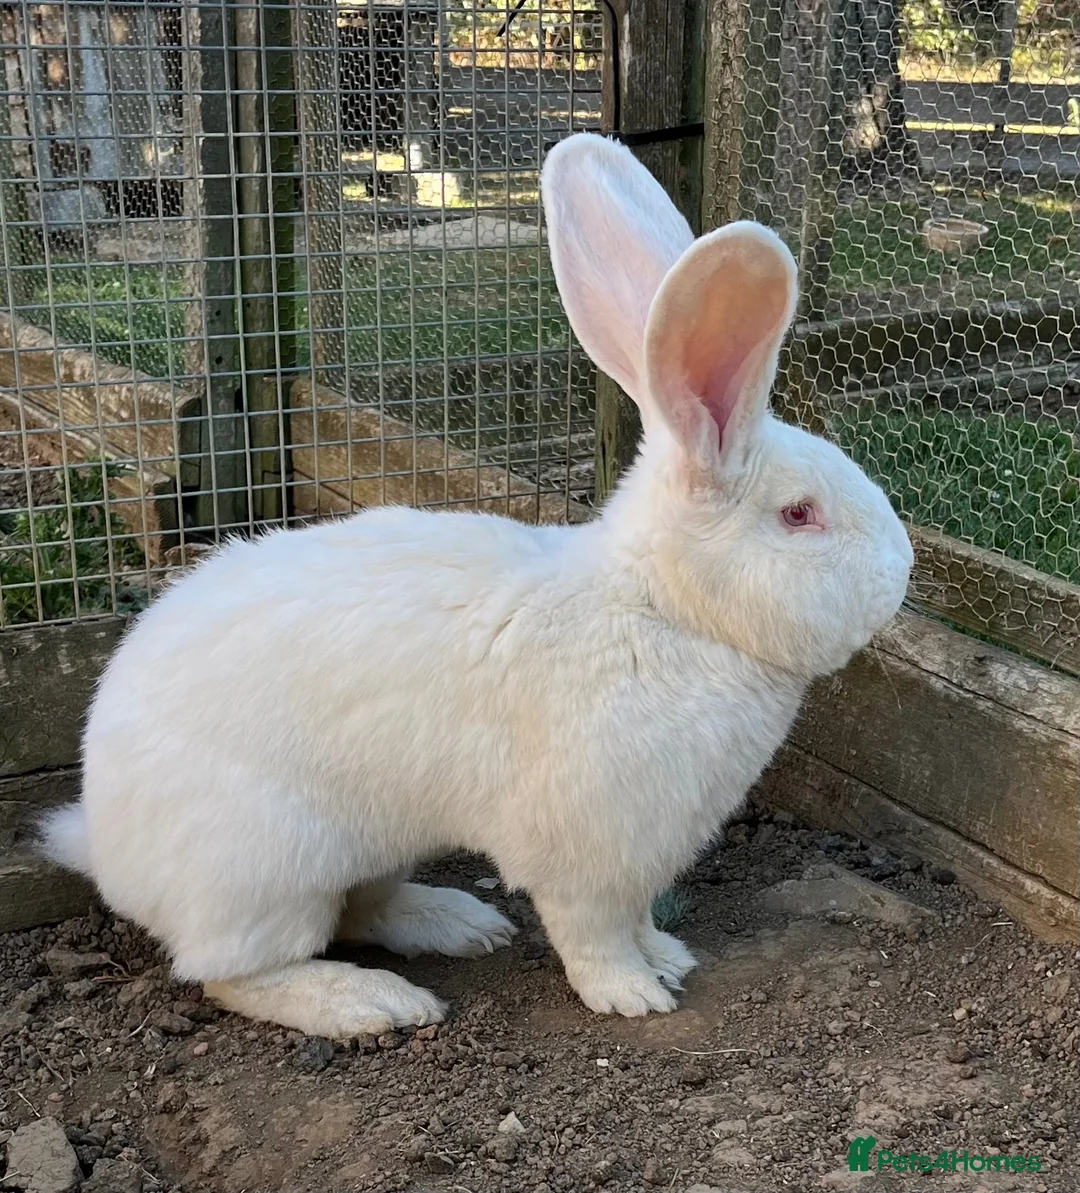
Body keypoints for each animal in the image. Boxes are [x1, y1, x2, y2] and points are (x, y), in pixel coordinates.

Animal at [39, 132, 912, 1039]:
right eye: (799, 514)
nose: (903, 569)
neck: (662, 609)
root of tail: (107, 842)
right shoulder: (589, 854)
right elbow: (594, 931)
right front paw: (632, 993)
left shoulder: (637, 860)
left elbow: (639, 918)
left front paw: (668, 957)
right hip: (266, 872)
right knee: (233, 972)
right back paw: (369, 1001)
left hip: (373, 847)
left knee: (363, 908)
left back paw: (459, 923)